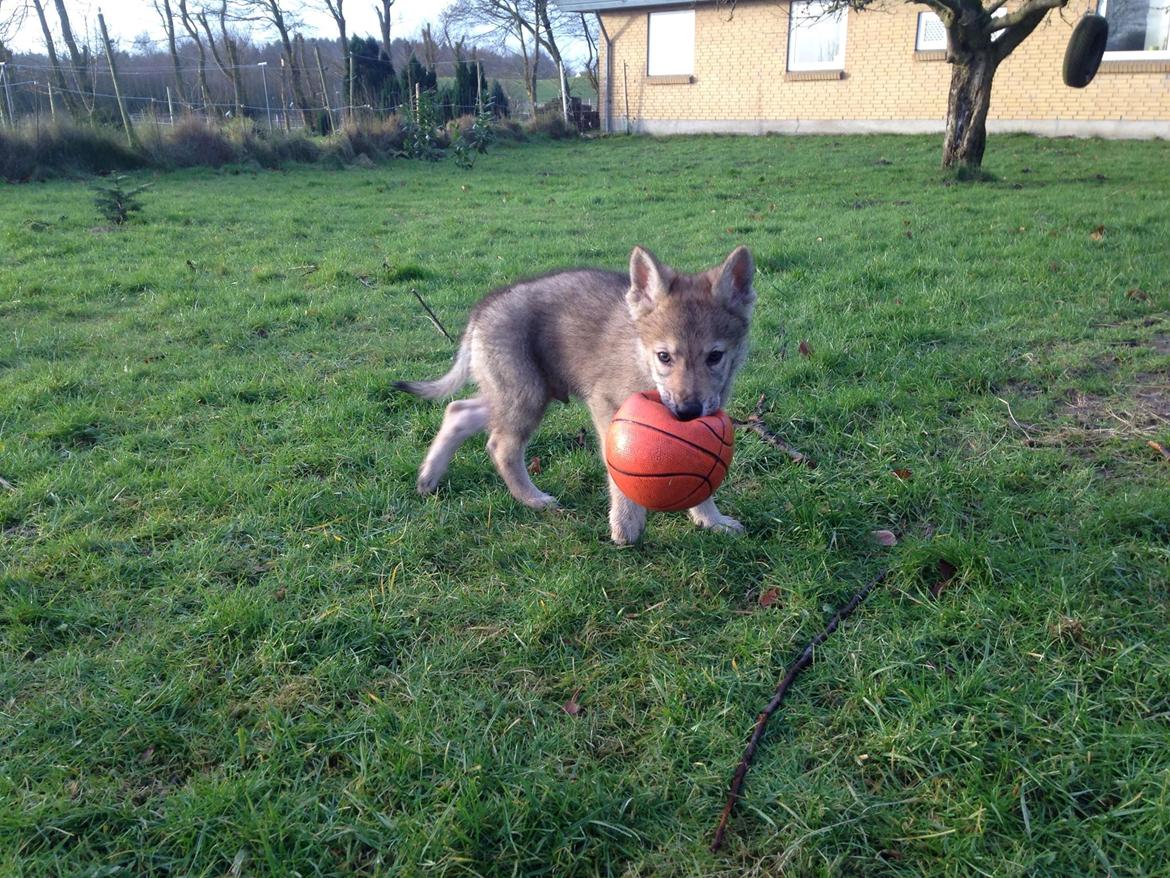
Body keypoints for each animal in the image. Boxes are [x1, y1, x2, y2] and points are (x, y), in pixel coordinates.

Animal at [397, 245, 753, 543]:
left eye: (715, 357)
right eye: (664, 356)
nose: (687, 413)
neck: (641, 360)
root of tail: (483, 309)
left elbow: (703, 481)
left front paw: (711, 519)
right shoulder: (606, 408)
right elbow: (618, 475)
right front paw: (626, 525)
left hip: (516, 393)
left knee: (458, 410)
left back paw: (428, 478)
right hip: (525, 395)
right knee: (501, 446)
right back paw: (533, 499)